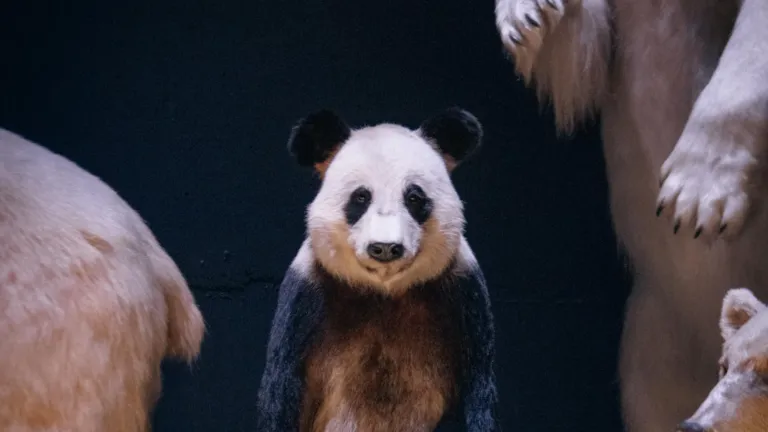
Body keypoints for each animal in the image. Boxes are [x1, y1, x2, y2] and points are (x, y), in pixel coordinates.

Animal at [256, 107, 499, 432]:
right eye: (361, 197)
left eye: (414, 198)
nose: (385, 247)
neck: (384, 292)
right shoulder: (308, 297)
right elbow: (283, 392)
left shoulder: (461, 296)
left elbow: (476, 392)